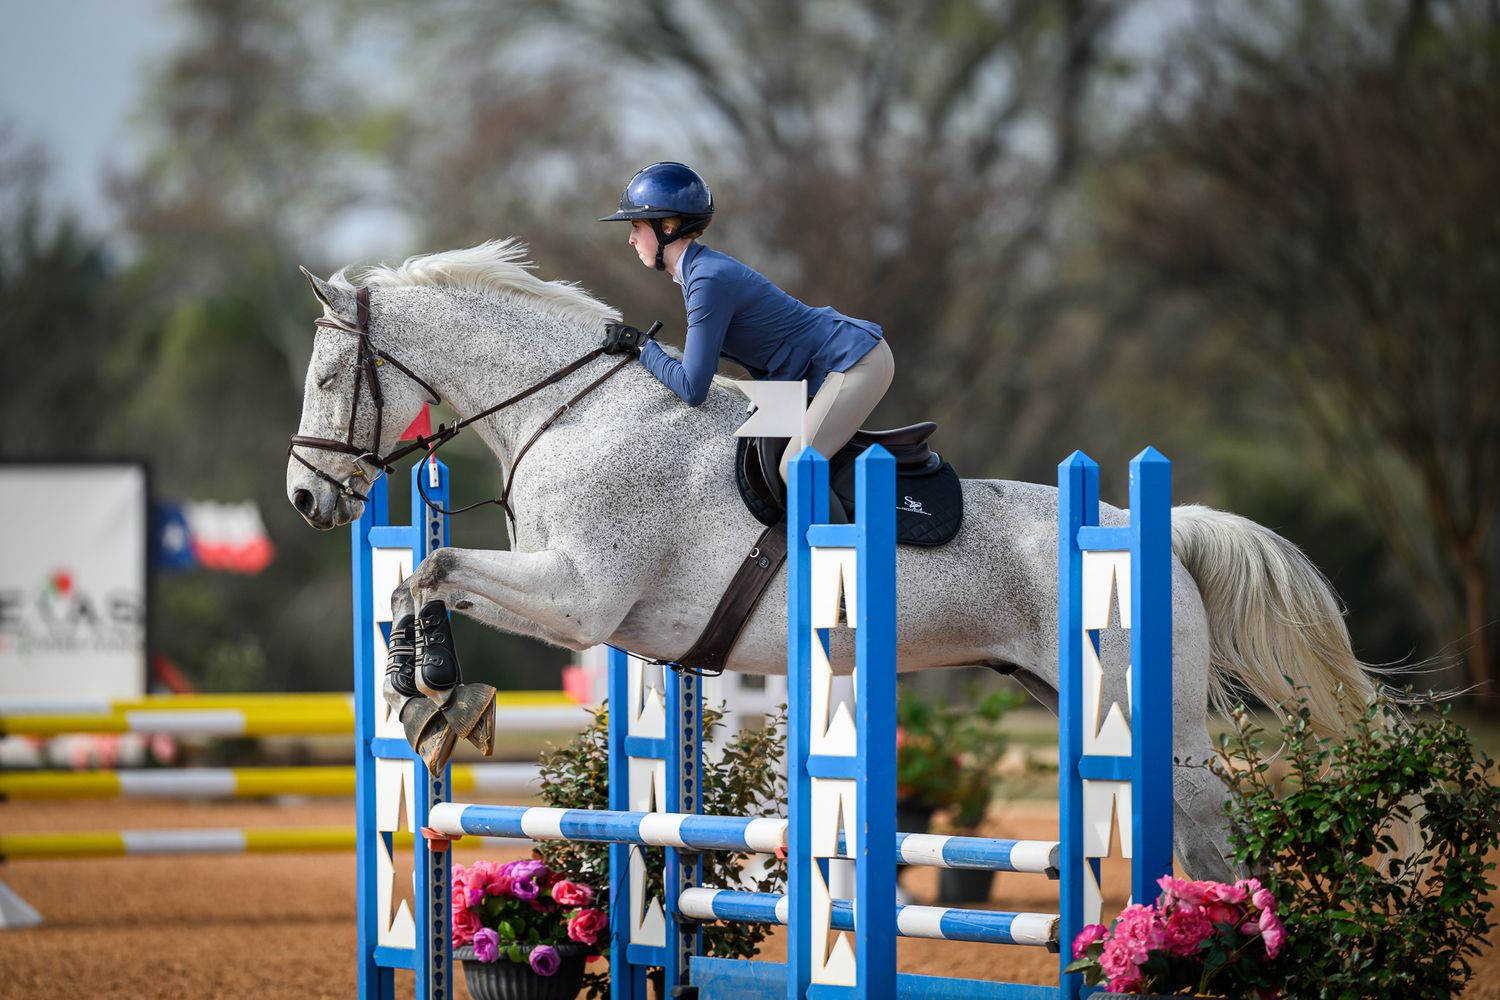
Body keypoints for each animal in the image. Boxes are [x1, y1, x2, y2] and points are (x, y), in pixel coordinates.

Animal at [285, 239, 1374, 882]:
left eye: (332, 374)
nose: (305, 499)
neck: (576, 411)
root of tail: (1160, 528)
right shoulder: (583, 609)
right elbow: (418, 577)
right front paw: (423, 695)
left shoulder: (582, 600)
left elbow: (432, 570)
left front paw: (435, 690)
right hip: (1072, 695)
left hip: (1151, 707)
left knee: (1208, 822)